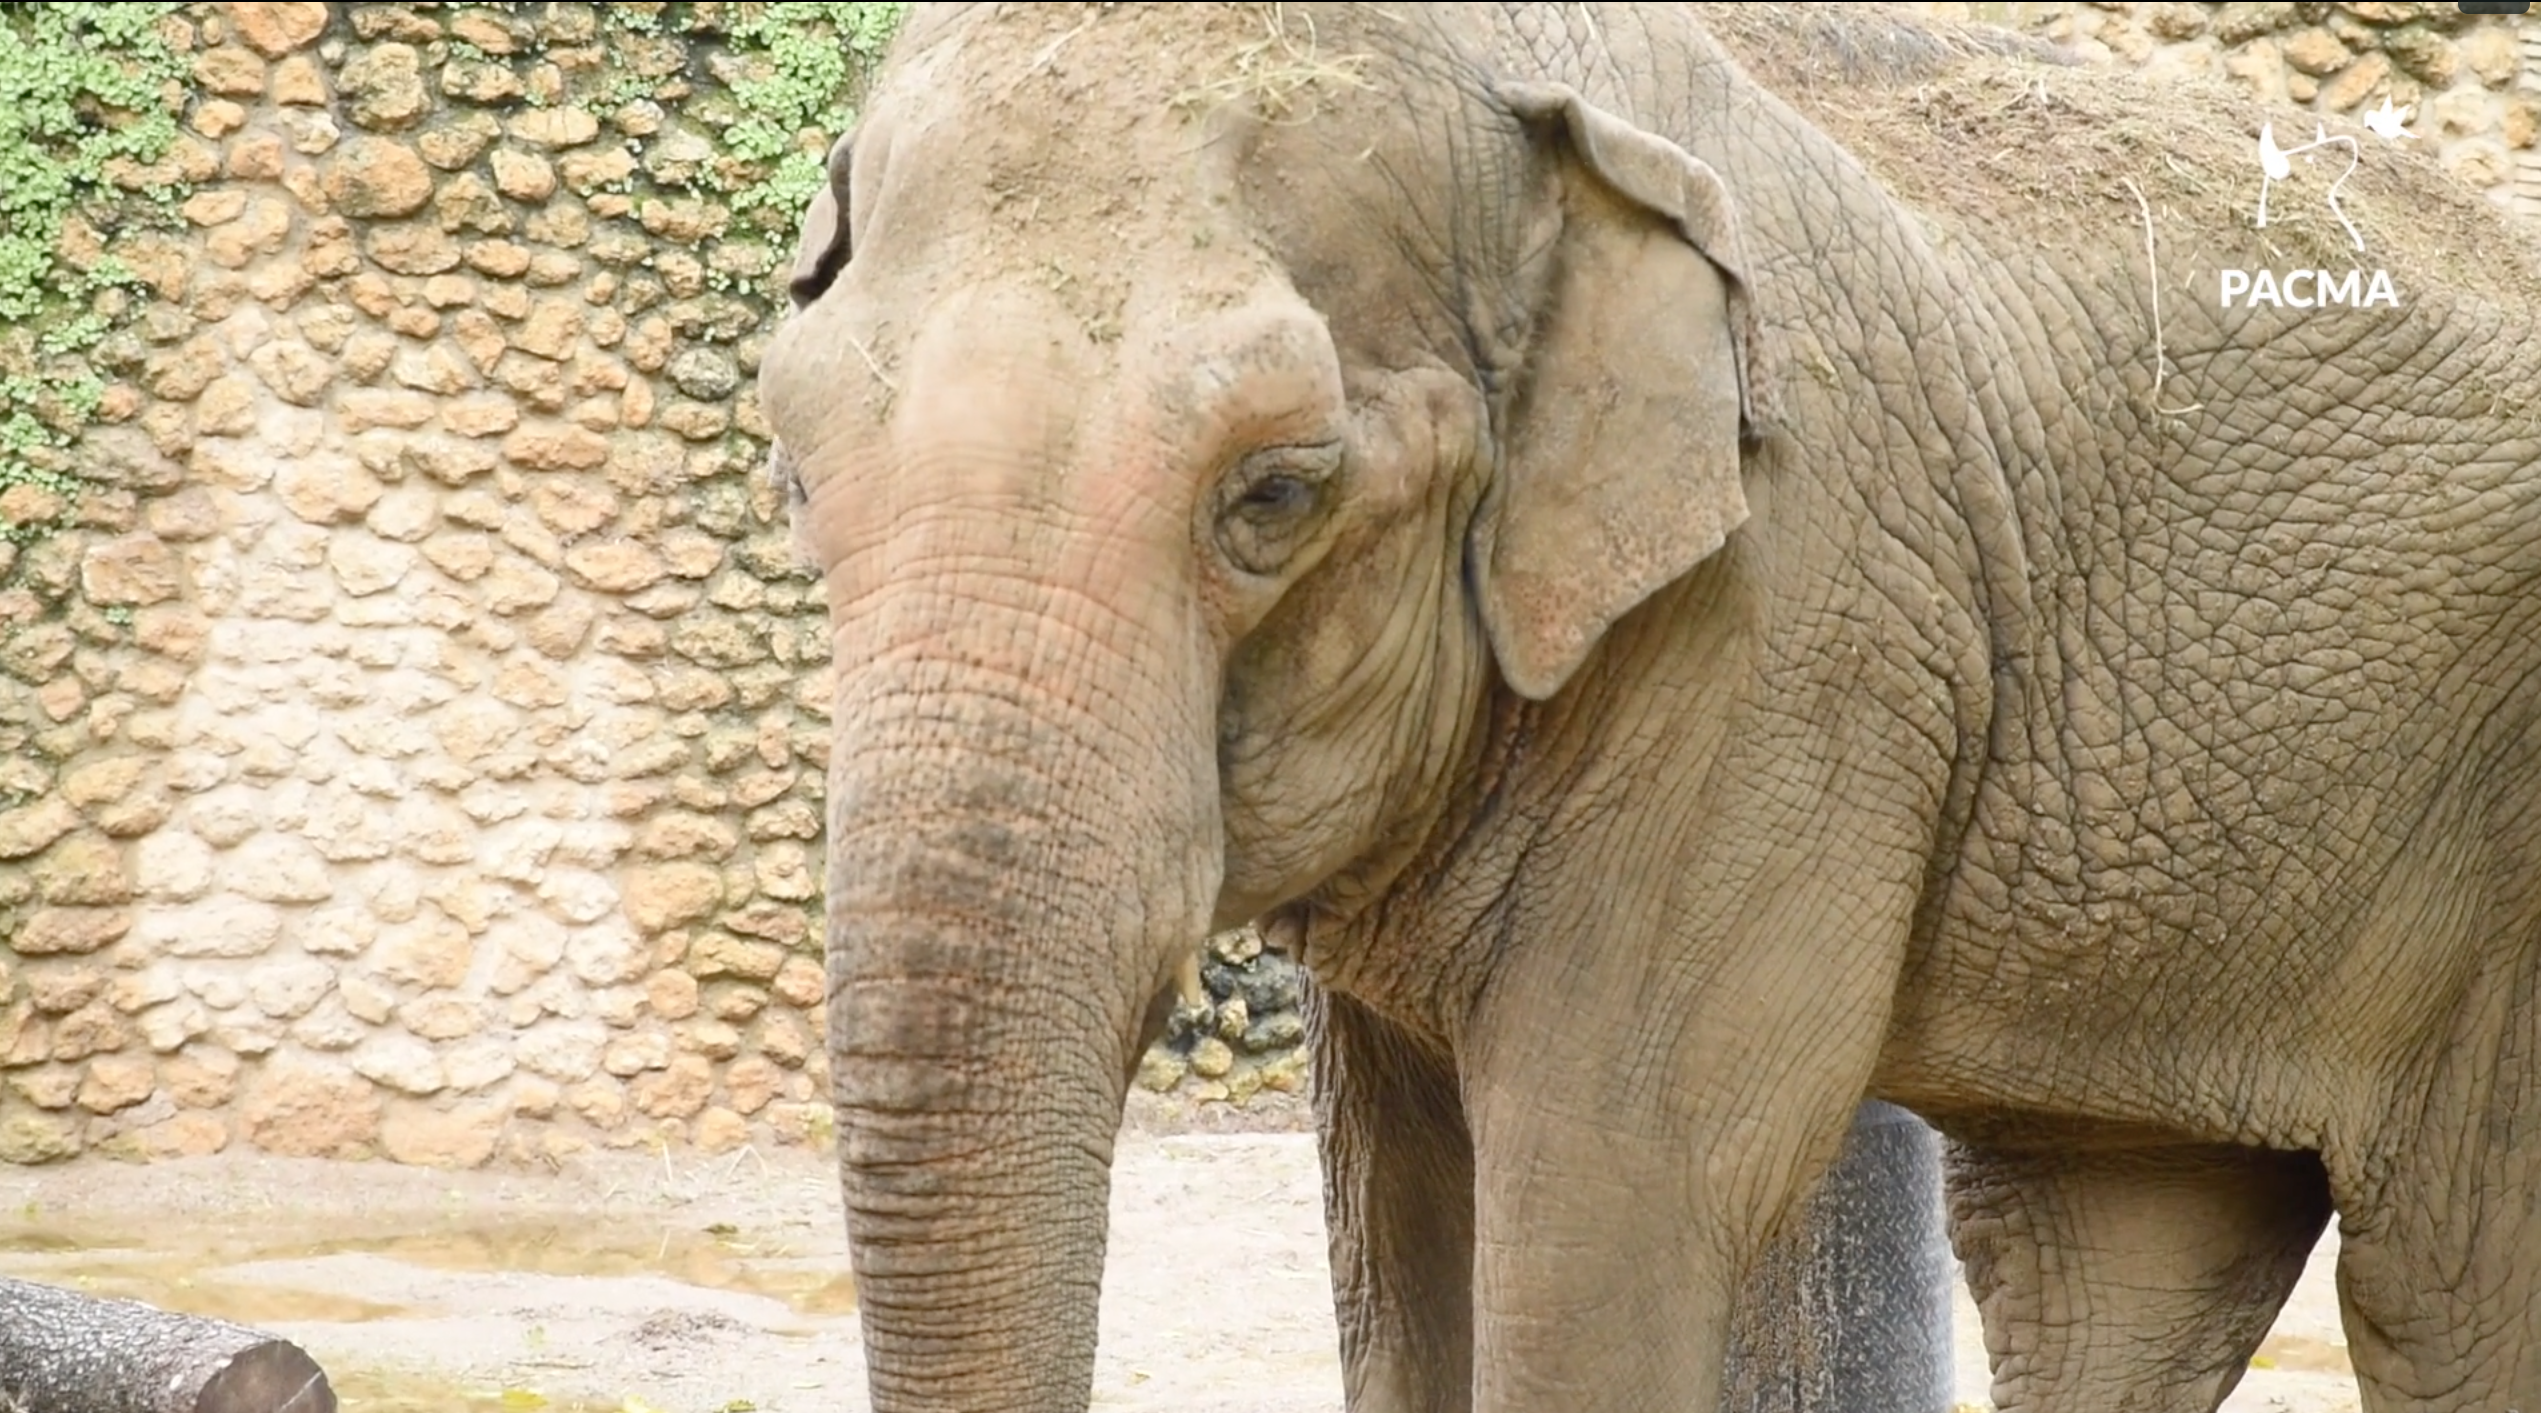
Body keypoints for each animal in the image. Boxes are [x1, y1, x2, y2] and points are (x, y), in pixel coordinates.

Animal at [757, 3, 2541, 1411]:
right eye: (794, 468)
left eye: (1273, 494)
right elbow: (1401, 1230)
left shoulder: (1788, 624)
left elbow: (1609, 1190)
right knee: (2110, 1253)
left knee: (2447, 1292)